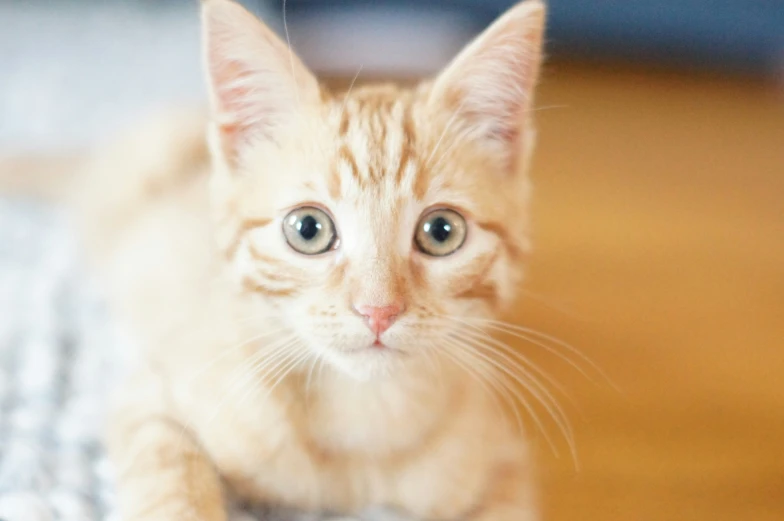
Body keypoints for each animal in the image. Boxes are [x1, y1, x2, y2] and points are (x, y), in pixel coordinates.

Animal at [70, 1, 544, 520]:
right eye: (308, 230)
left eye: (441, 232)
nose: (378, 311)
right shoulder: (153, 396)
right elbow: (170, 481)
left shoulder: (506, 460)